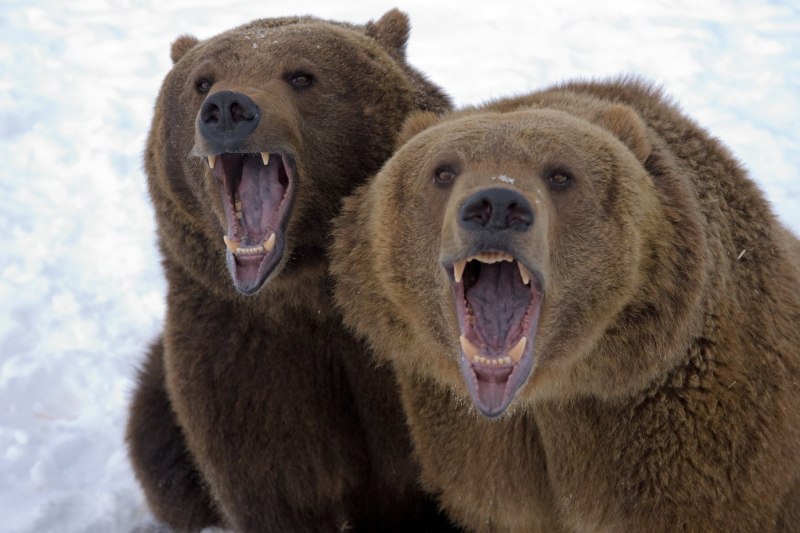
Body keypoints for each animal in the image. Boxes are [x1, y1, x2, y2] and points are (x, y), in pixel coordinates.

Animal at [125, 10, 457, 532]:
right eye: (202, 81)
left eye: (302, 75)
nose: (227, 108)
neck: (309, 288)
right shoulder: (249, 361)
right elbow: (277, 486)